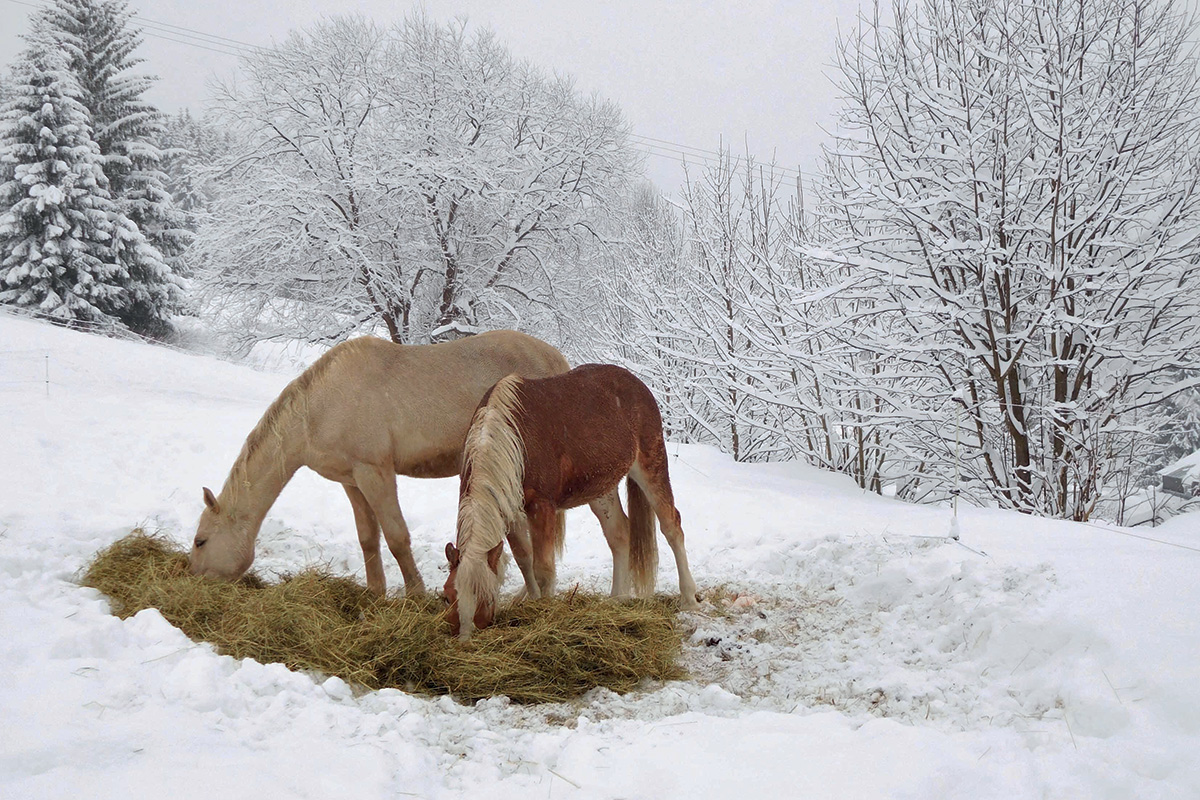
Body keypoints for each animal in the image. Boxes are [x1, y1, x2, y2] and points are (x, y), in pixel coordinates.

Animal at [188, 328, 571, 597]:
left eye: (200, 541)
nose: (193, 579)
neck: (321, 407)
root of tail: (555, 360)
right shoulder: (352, 480)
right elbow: (368, 538)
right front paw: (375, 592)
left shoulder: (375, 473)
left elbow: (397, 535)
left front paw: (416, 594)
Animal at [446, 367, 700, 642]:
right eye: (447, 595)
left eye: (485, 597)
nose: (464, 639)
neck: (512, 436)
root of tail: (638, 384)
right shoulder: (509, 508)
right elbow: (524, 559)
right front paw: (533, 600)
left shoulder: (541, 506)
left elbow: (543, 568)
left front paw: (544, 612)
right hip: (602, 489)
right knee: (620, 534)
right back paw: (617, 598)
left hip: (650, 466)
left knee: (671, 526)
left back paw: (689, 599)